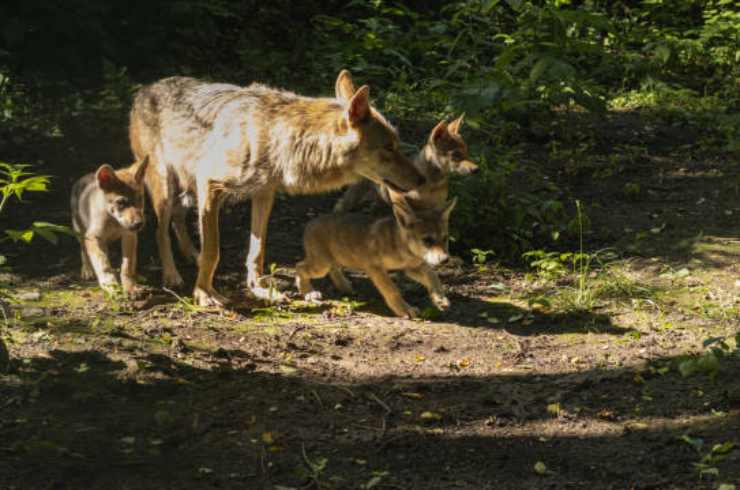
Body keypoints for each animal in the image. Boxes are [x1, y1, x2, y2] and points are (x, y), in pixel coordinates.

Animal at [129, 70, 422, 306]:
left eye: (397, 144)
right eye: (389, 148)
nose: (421, 179)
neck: (278, 137)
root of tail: (145, 89)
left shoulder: (264, 193)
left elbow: (256, 251)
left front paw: (259, 289)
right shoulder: (210, 183)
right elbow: (214, 251)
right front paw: (203, 294)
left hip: (190, 191)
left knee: (179, 220)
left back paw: (191, 254)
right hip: (167, 188)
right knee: (160, 231)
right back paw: (172, 274)